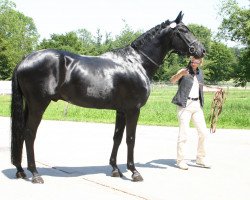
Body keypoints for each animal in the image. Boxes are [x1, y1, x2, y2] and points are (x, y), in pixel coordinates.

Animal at [10, 10, 205, 183]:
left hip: (30, 105)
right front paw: (134, 171)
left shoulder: (121, 110)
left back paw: (20, 170)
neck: (137, 62)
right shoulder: (133, 110)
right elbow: (130, 139)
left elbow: (117, 137)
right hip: (38, 105)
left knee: (20, 132)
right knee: (29, 134)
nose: (201, 50)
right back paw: (35, 174)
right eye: (183, 30)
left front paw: (115, 169)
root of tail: (25, 59)